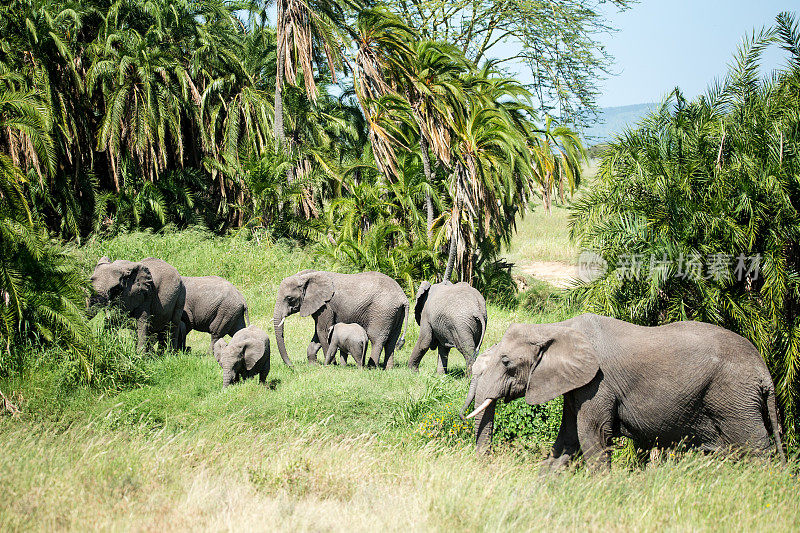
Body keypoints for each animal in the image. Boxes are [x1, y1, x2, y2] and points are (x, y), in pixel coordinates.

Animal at [276, 268, 412, 368]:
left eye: (289, 298)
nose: (292, 366)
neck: (306, 276)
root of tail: (403, 297)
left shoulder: (326, 305)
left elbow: (322, 331)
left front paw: (331, 365)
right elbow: (318, 333)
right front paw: (313, 365)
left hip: (382, 311)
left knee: (376, 338)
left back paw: (371, 367)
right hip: (395, 313)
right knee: (392, 340)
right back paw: (388, 368)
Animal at [466, 314, 784, 468]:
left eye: (506, 363)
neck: (555, 327)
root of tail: (764, 373)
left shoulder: (597, 384)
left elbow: (591, 436)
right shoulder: (576, 385)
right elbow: (568, 438)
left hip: (733, 398)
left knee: (755, 448)